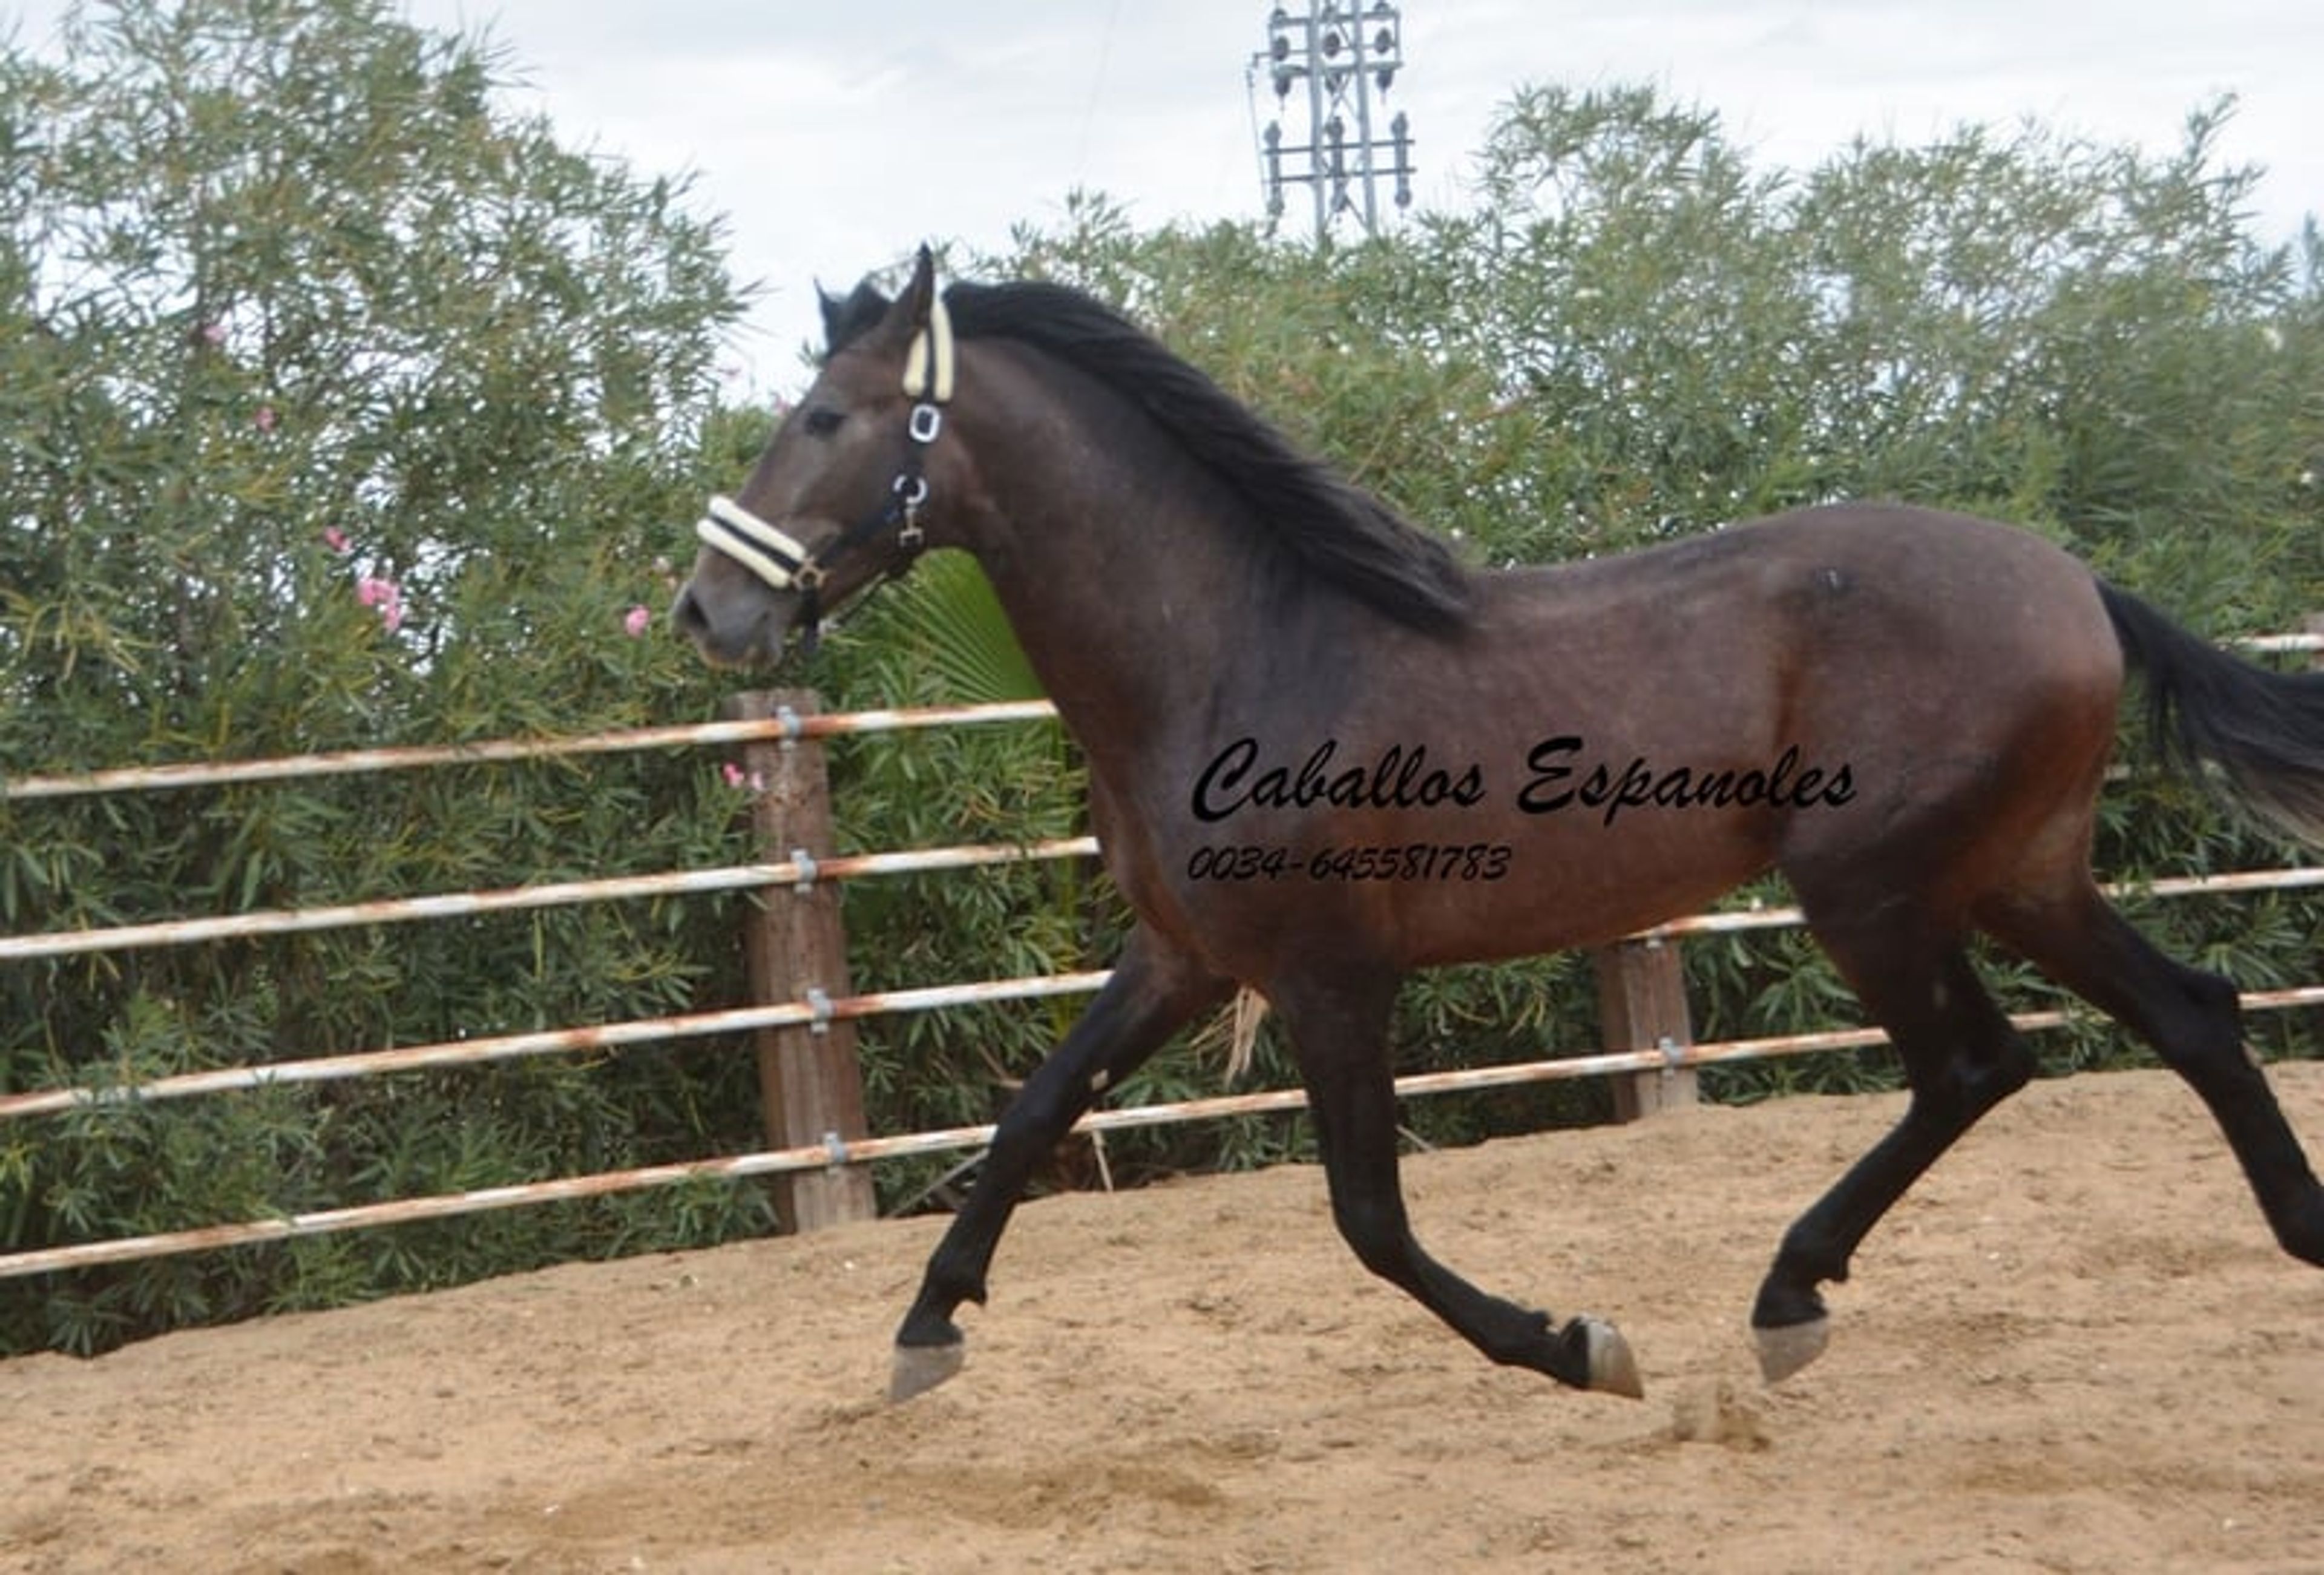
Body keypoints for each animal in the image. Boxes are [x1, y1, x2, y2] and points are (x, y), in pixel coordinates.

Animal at [673, 247, 2324, 1404]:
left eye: (823, 414)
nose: (708, 609)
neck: (1239, 648)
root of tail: (2074, 583)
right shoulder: (1184, 958)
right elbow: (1029, 1113)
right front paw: (923, 1328)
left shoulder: (1331, 978)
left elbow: (1368, 1219)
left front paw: (1579, 1342)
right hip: (2013, 873)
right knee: (2188, 1012)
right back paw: (2294, 1236)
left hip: (1875, 887)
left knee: (1976, 1063)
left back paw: (1789, 1294)